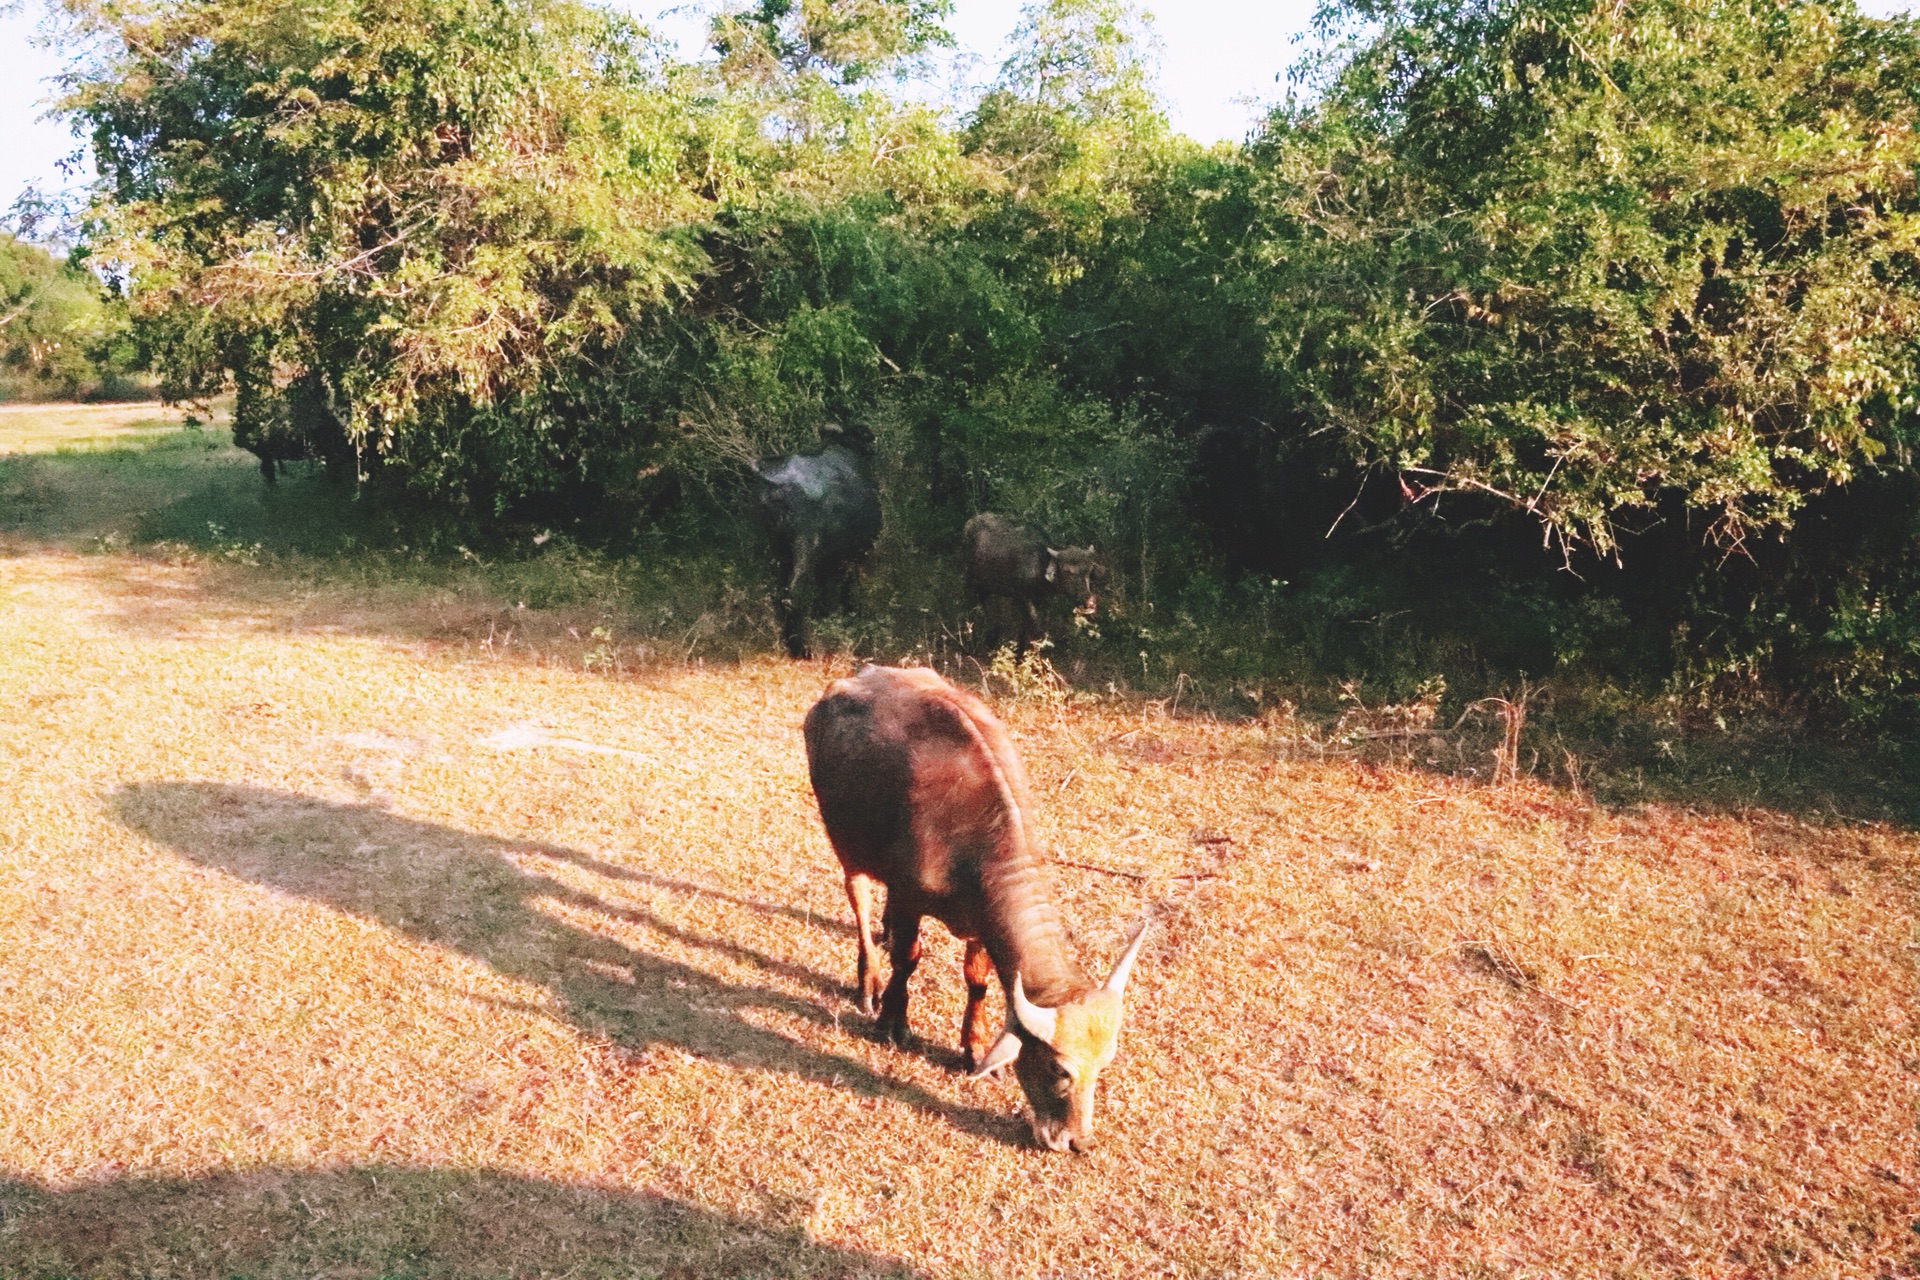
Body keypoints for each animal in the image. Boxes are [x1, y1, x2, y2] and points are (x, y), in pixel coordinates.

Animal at [748, 427, 883, 656]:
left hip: (780, 550)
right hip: (806, 547)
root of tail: (777, 483)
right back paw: (801, 648)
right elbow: (843, 591)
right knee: (796, 592)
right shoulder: (850, 557)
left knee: (780, 593)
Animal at [802, 667, 1144, 1159]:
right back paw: (869, 980)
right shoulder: (909, 897)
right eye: (1059, 1070)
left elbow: (977, 980)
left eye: (1104, 1065)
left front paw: (975, 1047)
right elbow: (908, 960)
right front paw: (893, 1022)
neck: (968, 835)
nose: (1076, 1141)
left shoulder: (981, 922)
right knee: (859, 897)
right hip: (846, 844)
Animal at [960, 510, 1098, 656]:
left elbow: (1025, 626)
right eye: (1068, 571)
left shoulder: (1037, 599)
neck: (1039, 566)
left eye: (1089, 571)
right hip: (970, 578)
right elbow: (1033, 623)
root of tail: (970, 522)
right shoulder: (1023, 597)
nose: (1090, 601)